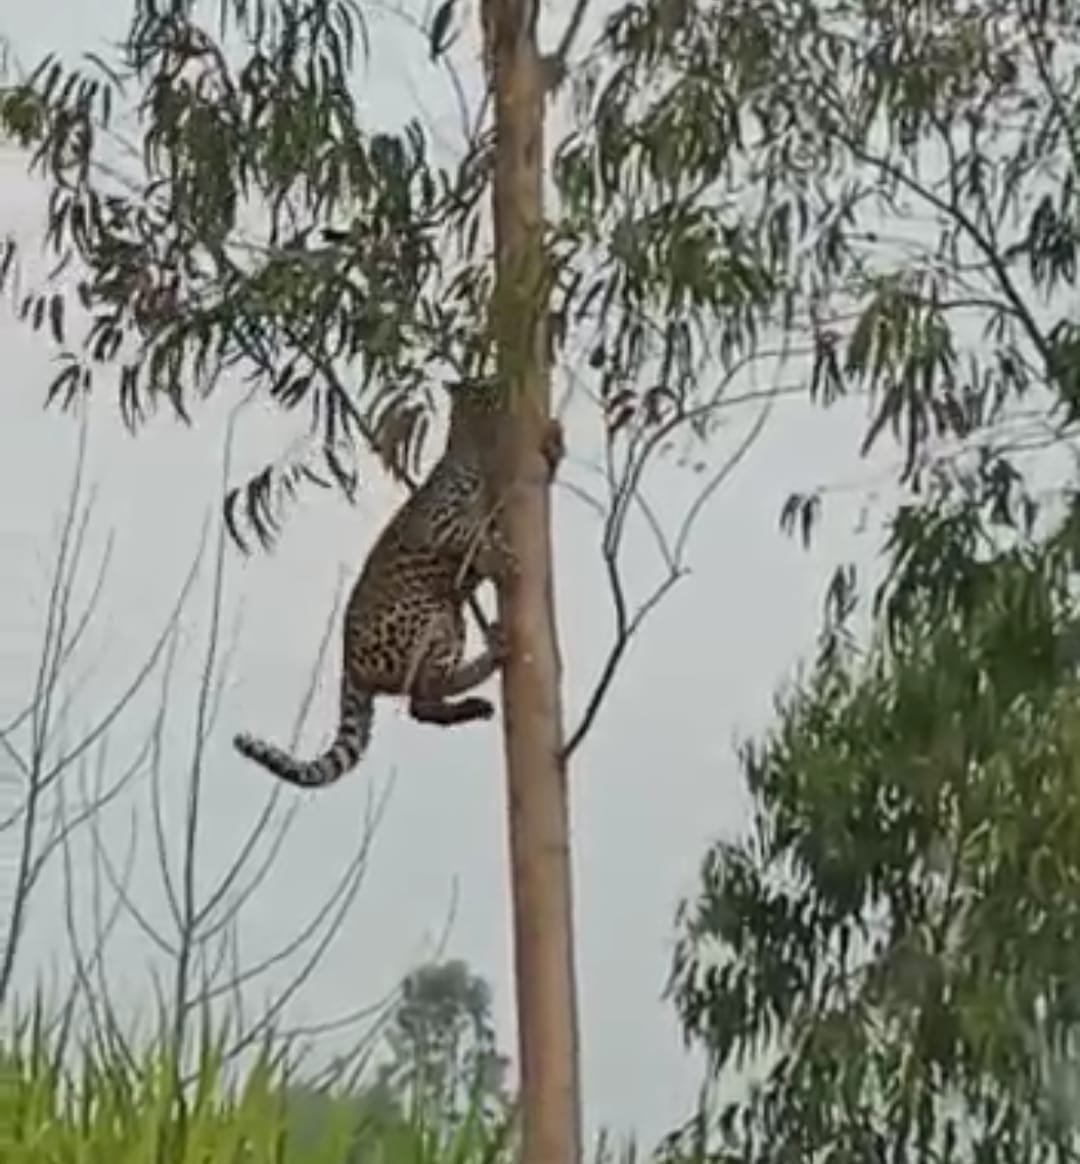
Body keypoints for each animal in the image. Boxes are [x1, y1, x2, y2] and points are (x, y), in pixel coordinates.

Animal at [232, 397, 564, 789]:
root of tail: (348, 666)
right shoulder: (440, 524)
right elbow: (473, 533)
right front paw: (502, 557)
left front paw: (555, 446)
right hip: (428, 611)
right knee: (420, 703)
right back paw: (484, 677)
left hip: (452, 619)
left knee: (423, 695)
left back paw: (492, 657)